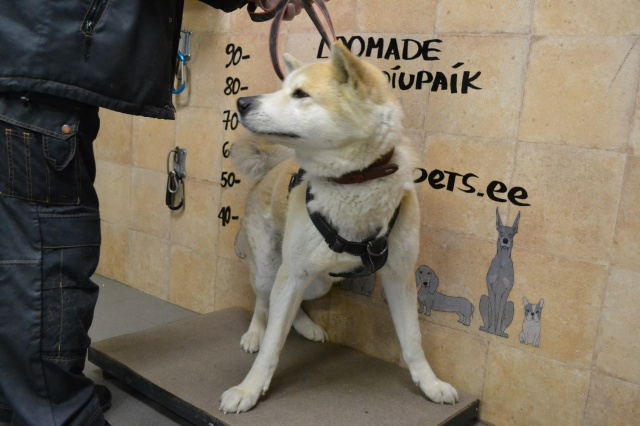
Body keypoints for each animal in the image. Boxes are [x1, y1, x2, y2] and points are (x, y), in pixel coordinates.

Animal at [219, 42, 458, 414]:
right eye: (282, 88)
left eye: (300, 94)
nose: (243, 102)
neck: (353, 182)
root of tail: (272, 167)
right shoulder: (294, 272)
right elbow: (273, 345)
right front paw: (249, 390)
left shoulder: (399, 277)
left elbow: (413, 341)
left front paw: (430, 384)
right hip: (272, 267)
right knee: (263, 301)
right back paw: (255, 333)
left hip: (317, 283)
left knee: (286, 305)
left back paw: (307, 327)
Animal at [479, 208, 520, 338]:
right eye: (501, 232)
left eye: (511, 234)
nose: (505, 240)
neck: (502, 263)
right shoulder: (490, 287)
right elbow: (493, 310)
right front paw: (492, 330)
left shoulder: (506, 291)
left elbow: (500, 310)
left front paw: (496, 331)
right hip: (483, 298)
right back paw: (486, 329)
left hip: (511, 305)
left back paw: (501, 333)